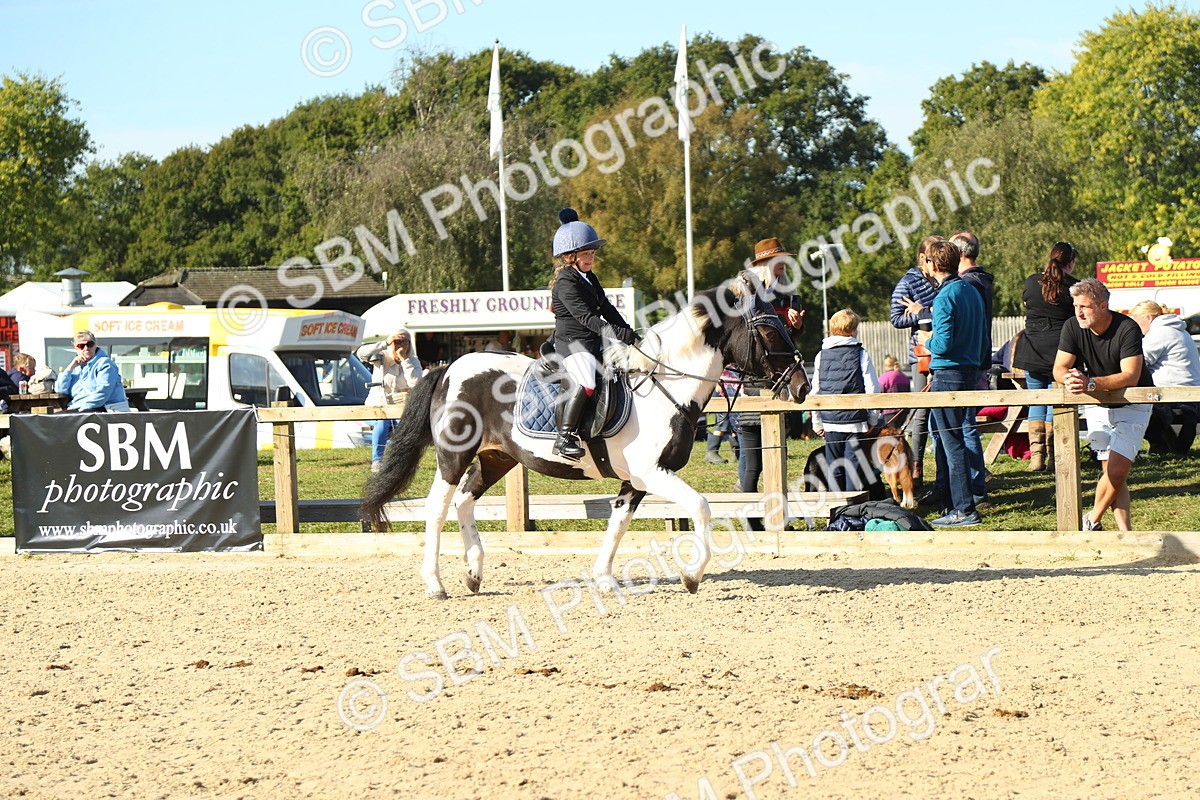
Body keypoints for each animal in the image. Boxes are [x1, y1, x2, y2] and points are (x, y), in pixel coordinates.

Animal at [360, 274, 811, 599]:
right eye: (770, 333)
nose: (802, 387)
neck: (666, 386)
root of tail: (448, 368)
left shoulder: (637, 480)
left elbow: (617, 524)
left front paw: (605, 579)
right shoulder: (654, 473)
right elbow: (701, 508)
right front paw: (691, 576)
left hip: (497, 457)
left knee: (465, 503)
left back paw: (473, 573)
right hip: (454, 456)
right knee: (437, 509)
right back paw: (435, 584)